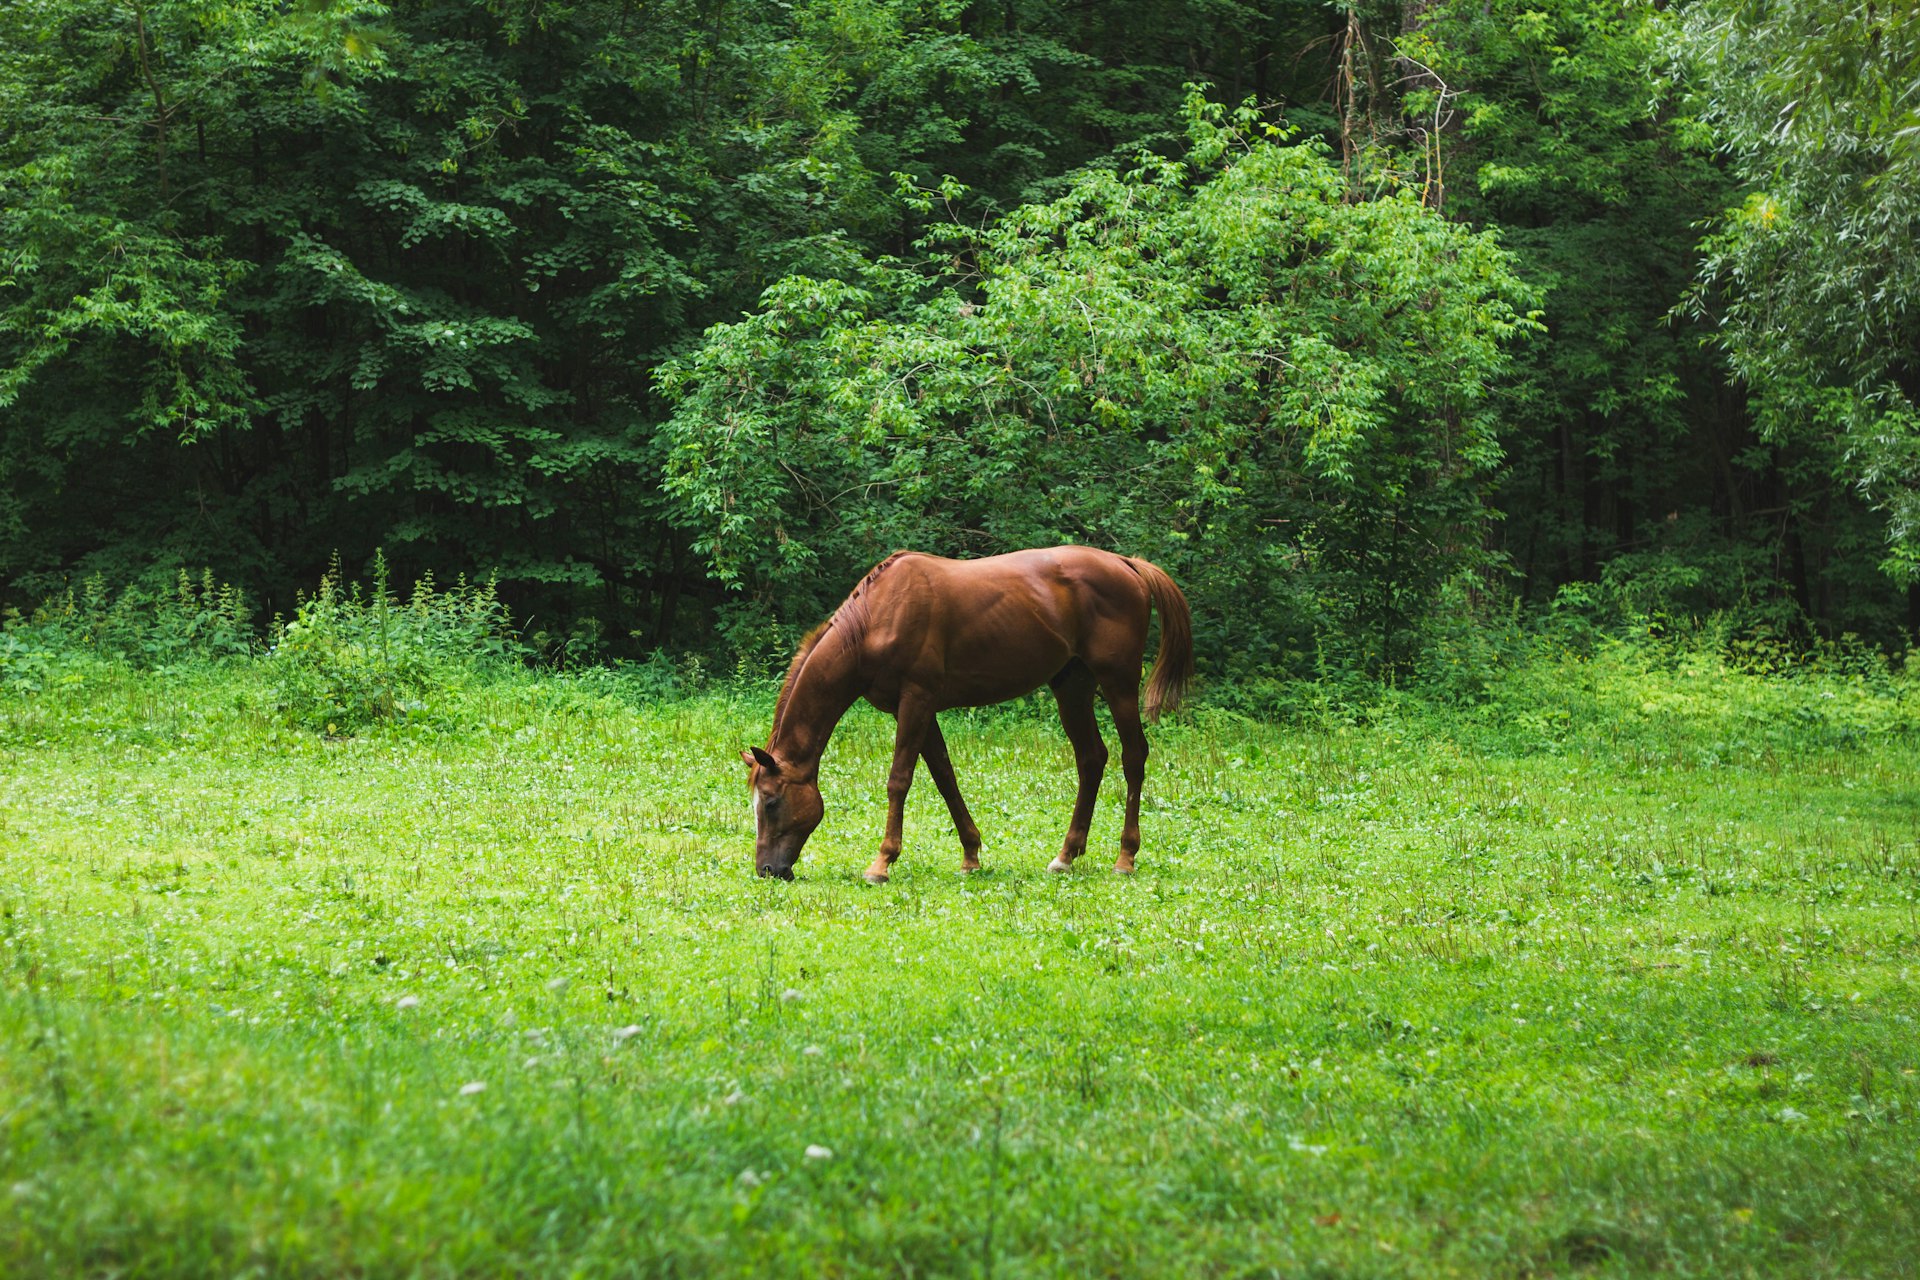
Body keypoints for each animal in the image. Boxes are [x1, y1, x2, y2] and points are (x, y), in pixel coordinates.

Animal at [733, 545, 1182, 886]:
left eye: (770, 802)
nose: (768, 870)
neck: (878, 617)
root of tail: (1127, 564)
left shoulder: (916, 701)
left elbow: (899, 780)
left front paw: (881, 863)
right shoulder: (918, 710)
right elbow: (944, 777)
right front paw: (971, 854)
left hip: (1119, 683)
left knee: (1133, 757)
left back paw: (1125, 857)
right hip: (1072, 686)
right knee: (1091, 759)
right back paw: (1065, 856)